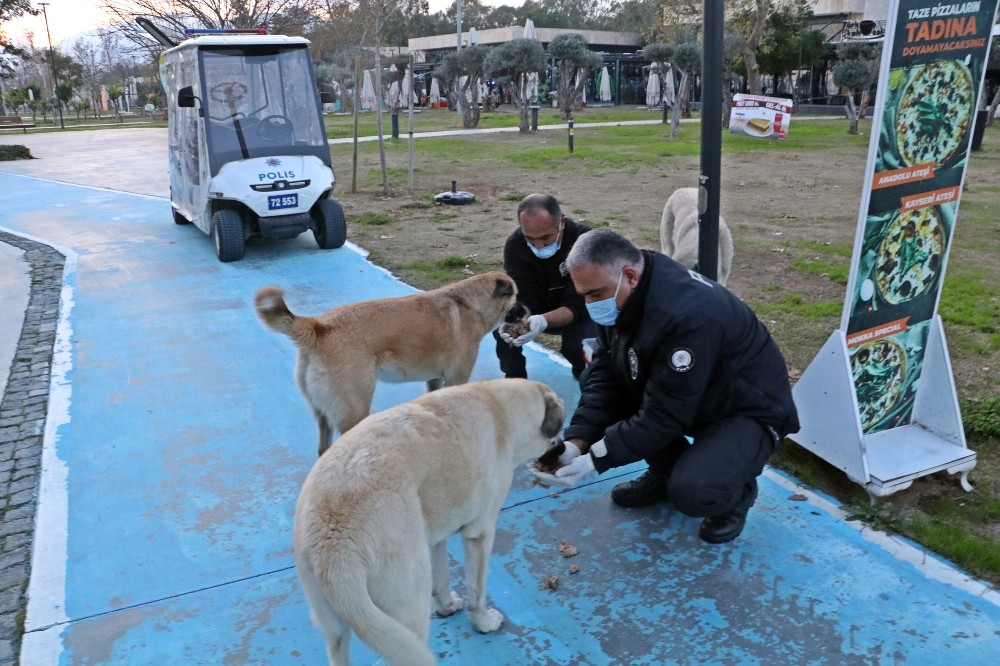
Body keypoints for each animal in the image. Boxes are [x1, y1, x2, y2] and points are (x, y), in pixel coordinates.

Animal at [254, 272, 520, 454]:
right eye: (516, 295)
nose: (526, 309)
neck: (469, 304)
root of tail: (318, 327)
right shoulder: (456, 379)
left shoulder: (435, 380)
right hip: (354, 410)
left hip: (324, 414)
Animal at [292, 378, 568, 664]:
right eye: (561, 427)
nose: (563, 447)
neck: (499, 409)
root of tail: (332, 542)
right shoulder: (480, 534)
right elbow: (477, 591)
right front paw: (483, 622)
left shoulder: (435, 538)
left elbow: (443, 575)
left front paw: (447, 607)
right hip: (408, 609)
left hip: (336, 629)